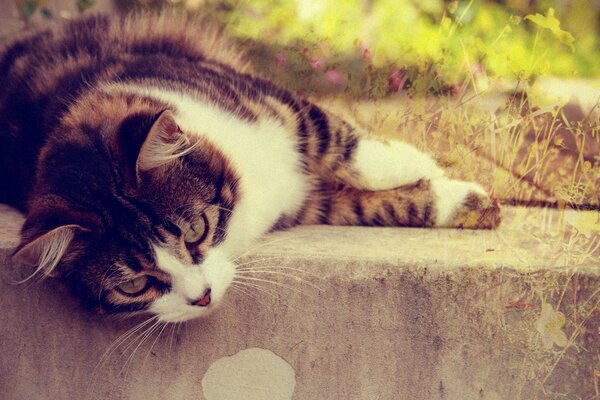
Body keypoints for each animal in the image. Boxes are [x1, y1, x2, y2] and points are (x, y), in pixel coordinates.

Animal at [0, 12, 496, 324]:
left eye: (195, 231)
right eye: (136, 285)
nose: (201, 297)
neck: (251, 193)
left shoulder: (279, 106)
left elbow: (343, 142)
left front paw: (425, 166)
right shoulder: (312, 204)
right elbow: (370, 206)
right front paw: (459, 200)